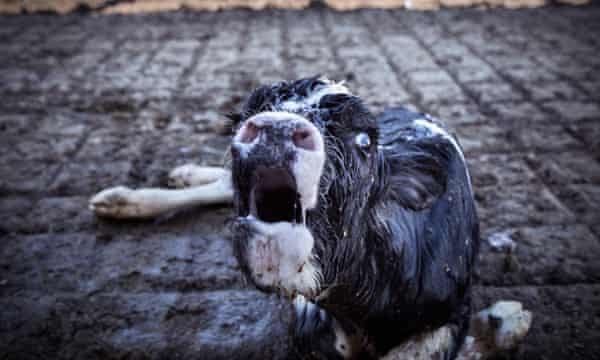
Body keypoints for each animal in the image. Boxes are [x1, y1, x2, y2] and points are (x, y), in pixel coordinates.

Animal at [89, 76, 528, 360]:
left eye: (364, 140)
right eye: (242, 116)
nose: (277, 129)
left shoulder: (454, 313)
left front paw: (508, 322)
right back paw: (131, 196)